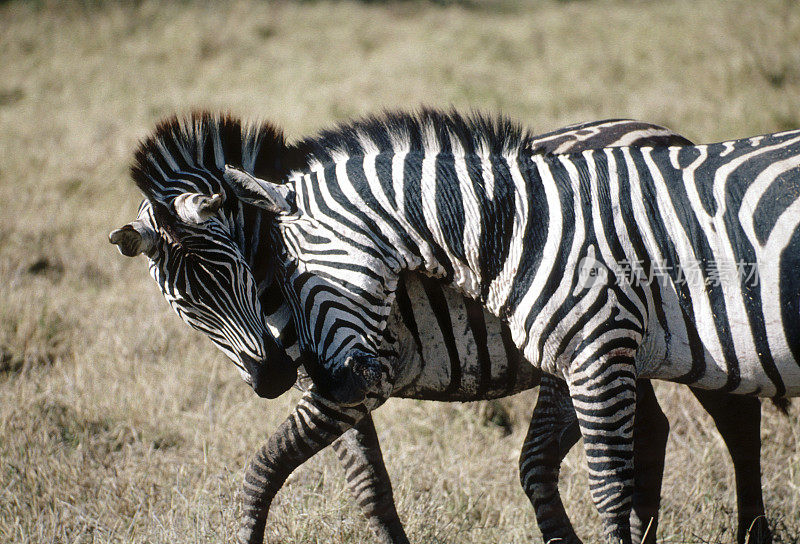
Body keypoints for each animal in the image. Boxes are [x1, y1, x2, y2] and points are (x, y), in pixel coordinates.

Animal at [106, 113, 776, 544]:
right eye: (183, 303)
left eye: (239, 269)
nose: (269, 378)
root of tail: (669, 134)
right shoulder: (338, 379)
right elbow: (369, 488)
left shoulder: (358, 377)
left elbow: (264, 469)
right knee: (656, 428)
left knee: (736, 418)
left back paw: (750, 532)